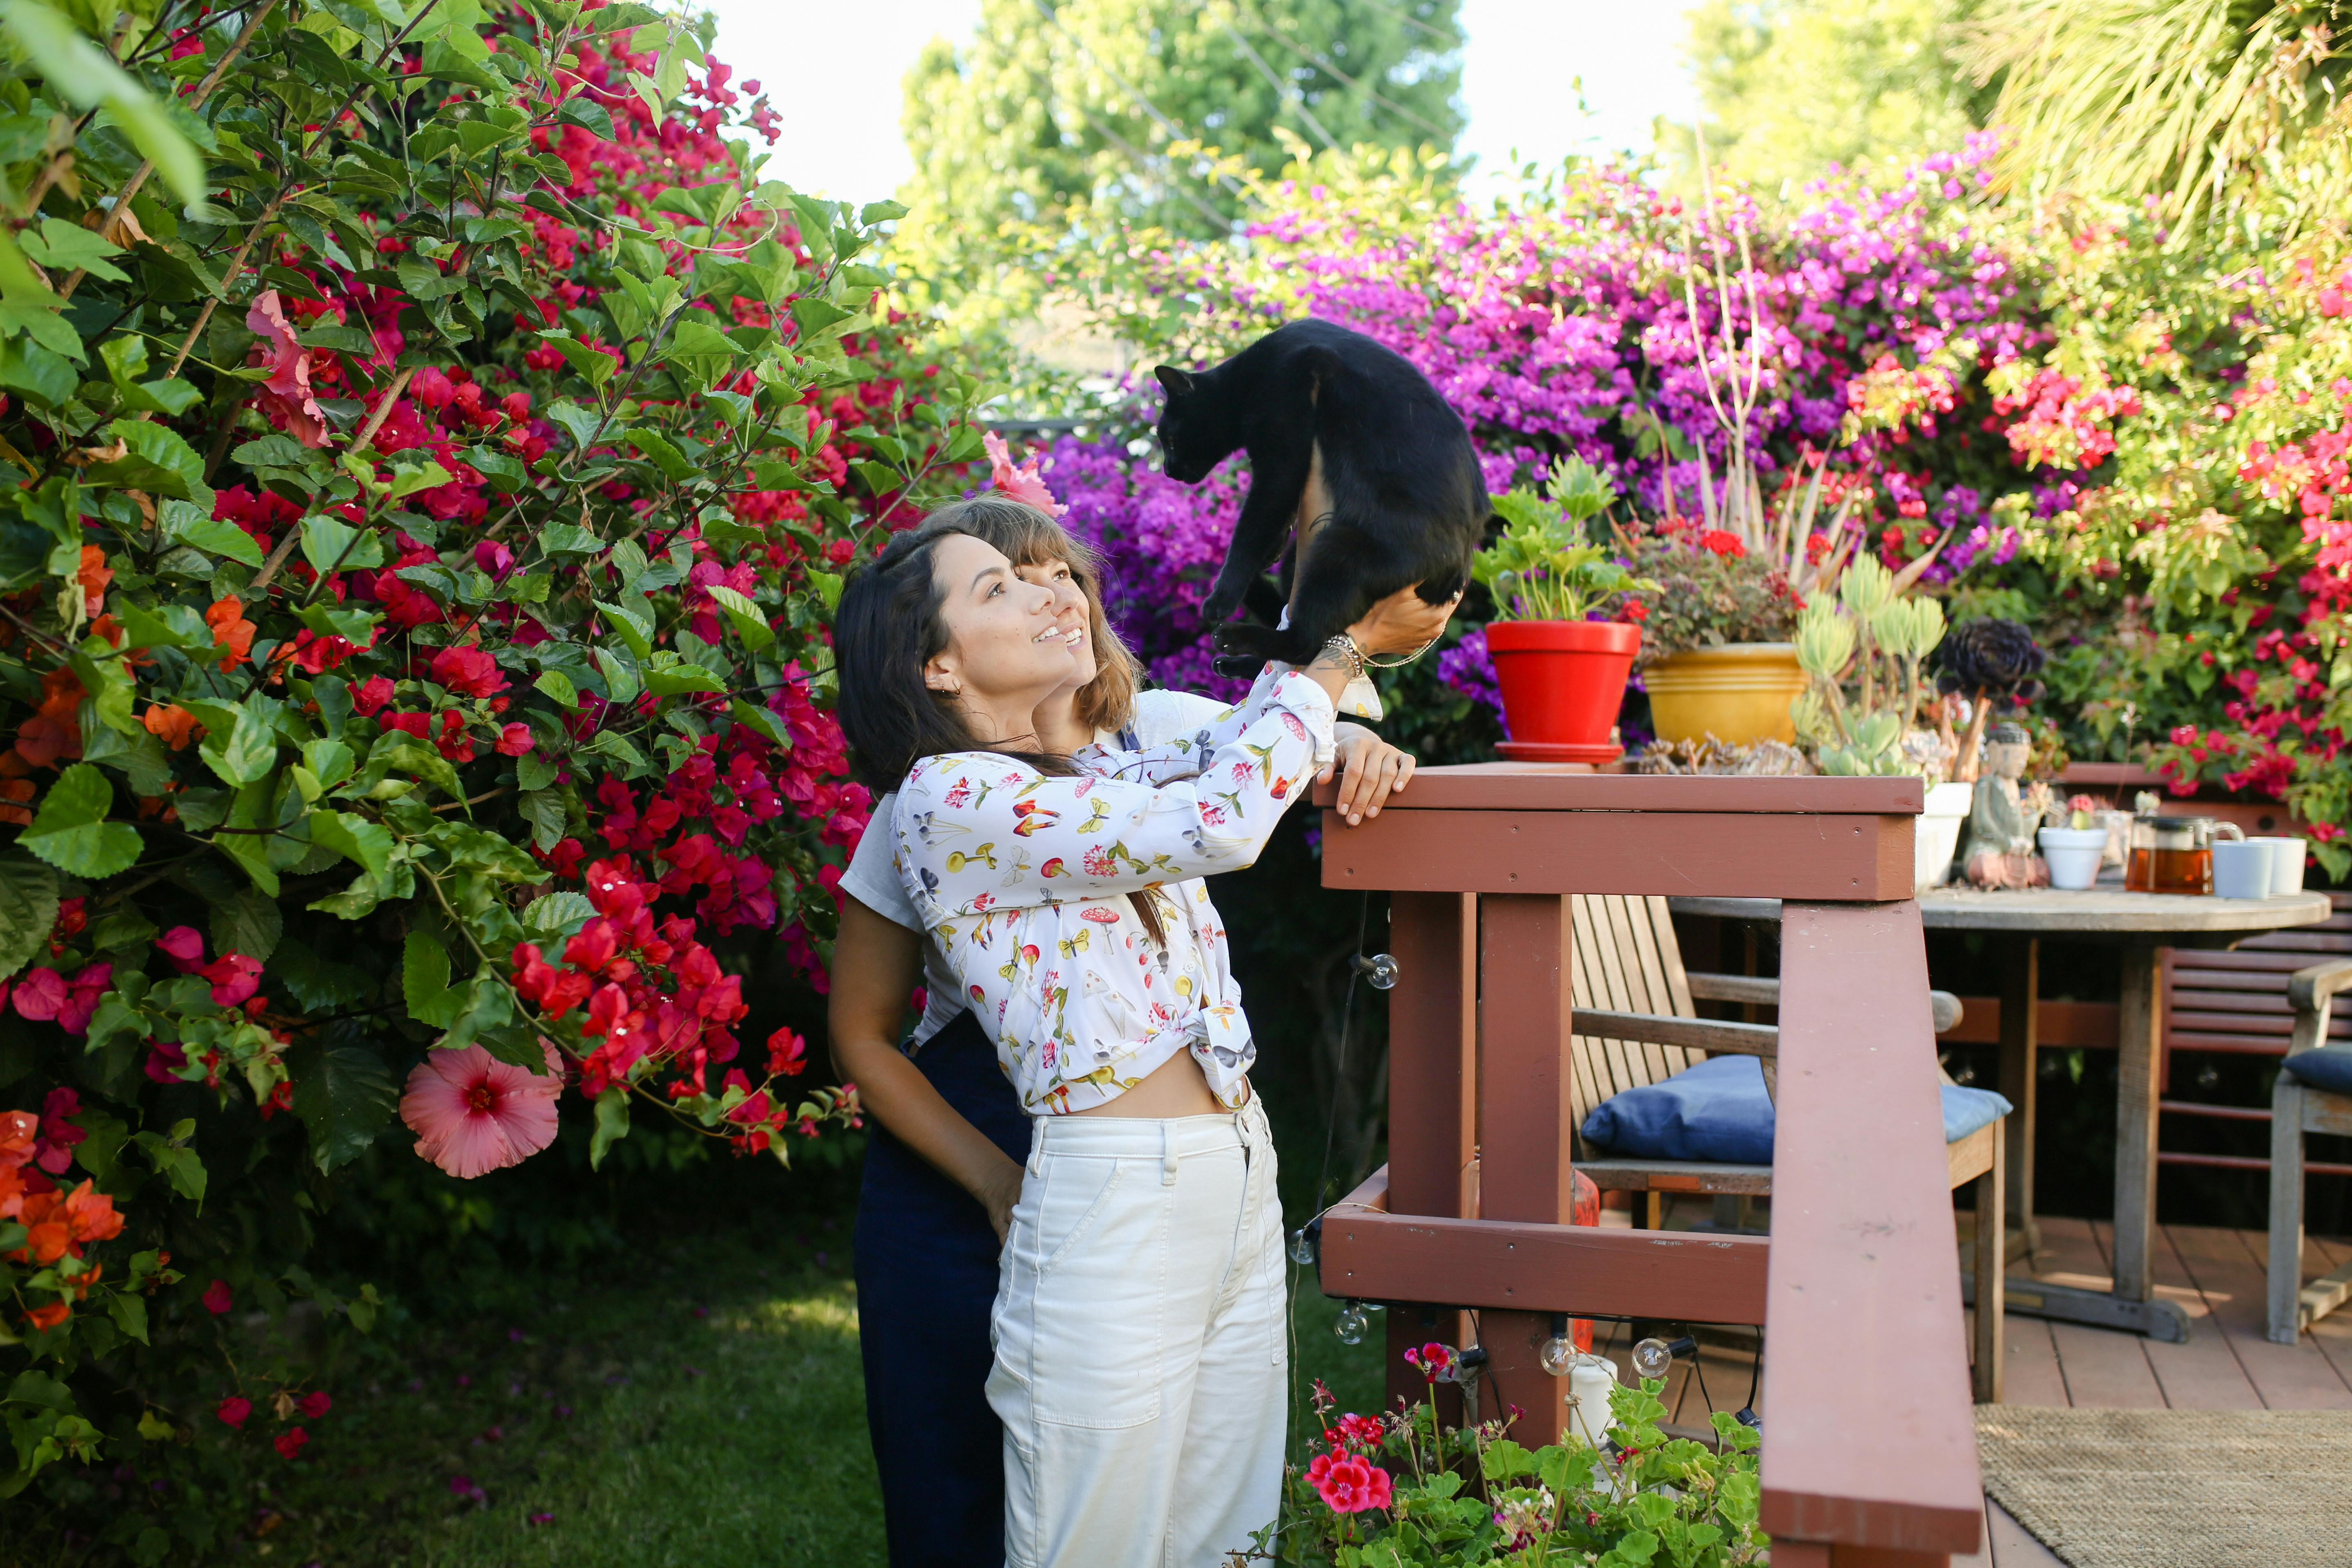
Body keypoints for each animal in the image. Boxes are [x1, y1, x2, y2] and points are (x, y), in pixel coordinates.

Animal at [1157, 322, 1486, 677]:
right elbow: (1273, 520)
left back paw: (1234, 637)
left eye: (1171, 440)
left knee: (1304, 643)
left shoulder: (1281, 457)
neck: (1249, 378)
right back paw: (1240, 664)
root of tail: (1457, 571)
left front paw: (1222, 597)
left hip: (1340, 553)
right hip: (1305, 559)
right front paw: (1271, 549)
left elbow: (1252, 527)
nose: (1167, 470)